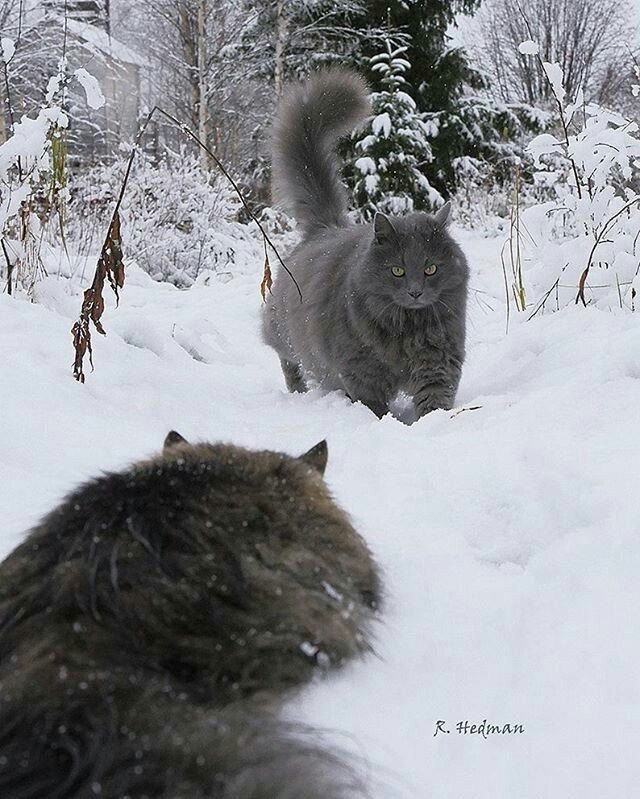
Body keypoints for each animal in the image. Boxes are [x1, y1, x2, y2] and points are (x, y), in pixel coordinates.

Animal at [262, 69, 470, 422]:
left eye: (431, 268)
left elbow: (434, 397)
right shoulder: (360, 366)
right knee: (288, 359)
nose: (415, 291)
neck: (407, 329)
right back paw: (298, 391)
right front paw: (381, 421)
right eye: (397, 270)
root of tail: (325, 227)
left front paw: (433, 421)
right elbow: (371, 403)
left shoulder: (438, 358)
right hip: (283, 331)